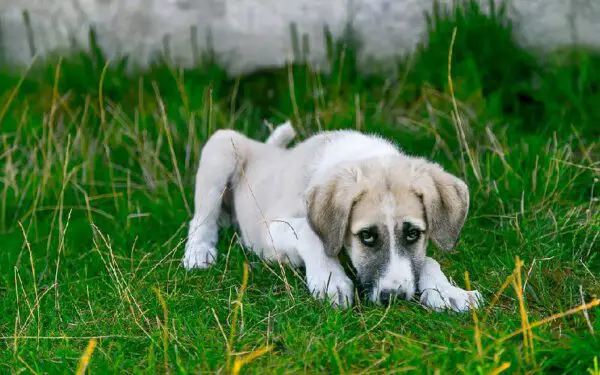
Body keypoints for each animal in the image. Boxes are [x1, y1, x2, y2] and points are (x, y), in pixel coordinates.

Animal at [183, 122, 482, 312]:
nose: (394, 297)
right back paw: (199, 252)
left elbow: (428, 260)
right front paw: (330, 280)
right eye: (367, 236)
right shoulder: (270, 230)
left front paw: (448, 291)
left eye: (412, 234)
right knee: (201, 218)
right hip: (222, 146)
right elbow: (309, 232)